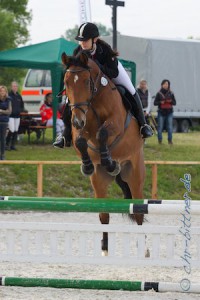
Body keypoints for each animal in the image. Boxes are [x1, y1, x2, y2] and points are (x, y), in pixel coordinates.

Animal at [61, 52, 145, 254]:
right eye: (66, 82)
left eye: (86, 81)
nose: (77, 121)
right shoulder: (81, 128)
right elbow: (81, 141)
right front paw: (87, 166)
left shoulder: (115, 122)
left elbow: (103, 133)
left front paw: (109, 161)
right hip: (99, 181)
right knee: (104, 214)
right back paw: (105, 248)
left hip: (134, 175)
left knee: (139, 212)